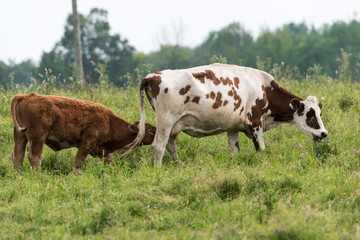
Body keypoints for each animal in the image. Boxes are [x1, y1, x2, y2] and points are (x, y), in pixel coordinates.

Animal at [10, 93, 155, 170]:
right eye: (148, 128)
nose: (157, 130)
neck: (110, 122)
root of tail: (27, 96)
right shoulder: (87, 143)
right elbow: (78, 161)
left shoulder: (98, 149)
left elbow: (109, 160)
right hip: (37, 137)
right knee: (34, 157)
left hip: (20, 136)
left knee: (18, 156)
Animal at [133, 62, 330, 166]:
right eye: (310, 114)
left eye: (320, 112)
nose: (324, 133)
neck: (264, 88)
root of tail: (153, 76)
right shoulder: (255, 122)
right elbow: (261, 150)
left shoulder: (233, 127)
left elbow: (234, 151)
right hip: (166, 120)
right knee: (158, 146)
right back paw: (158, 170)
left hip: (172, 124)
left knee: (170, 145)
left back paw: (179, 165)